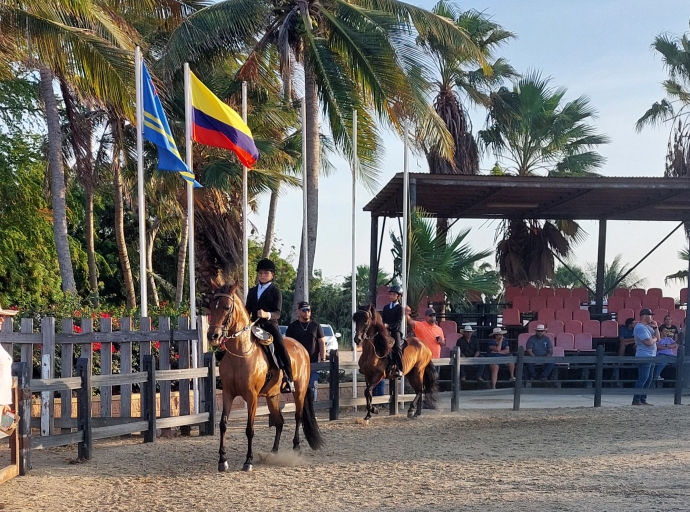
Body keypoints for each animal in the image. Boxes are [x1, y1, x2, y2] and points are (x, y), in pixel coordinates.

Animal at [207, 282, 322, 470]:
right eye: (211, 306)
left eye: (226, 307)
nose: (212, 336)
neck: (241, 353)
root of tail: (301, 348)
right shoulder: (228, 394)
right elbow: (223, 424)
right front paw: (222, 460)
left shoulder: (251, 396)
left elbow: (249, 429)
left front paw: (248, 461)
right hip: (272, 396)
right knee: (279, 421)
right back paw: (273, 453)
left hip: (299, 391)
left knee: (297, 417)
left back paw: (296, 448)